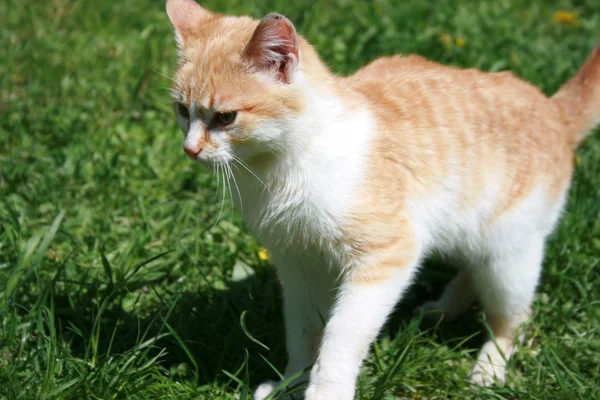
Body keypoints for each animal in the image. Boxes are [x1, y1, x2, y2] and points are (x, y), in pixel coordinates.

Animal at [165, 1, 600, 398]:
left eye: (226, 117)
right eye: (182, 110)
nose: (189, 150)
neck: (284, 165)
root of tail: (554, 110)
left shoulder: (386, 257)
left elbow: (341, 335)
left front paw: (325, 391)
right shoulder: (298, 265)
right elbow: (303, 331)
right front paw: (291, 384)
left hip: (509, 258)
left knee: (510, 316)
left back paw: (489, 366)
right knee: (469, 270)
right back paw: (443, 309)